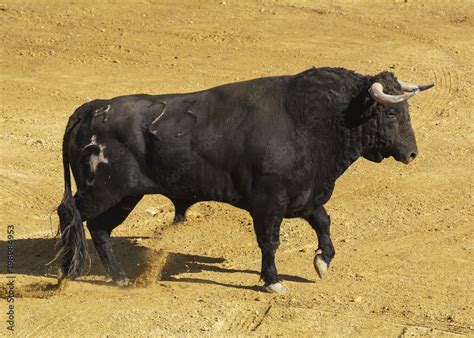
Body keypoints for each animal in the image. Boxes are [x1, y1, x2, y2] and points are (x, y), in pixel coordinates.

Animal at [54, 66, 434, 294]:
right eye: (391, 112)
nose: (412, 153)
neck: (311, 121)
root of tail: (91, 108)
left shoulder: (304, 195)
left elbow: (324, 221)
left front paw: (322, 262)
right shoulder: (269, 203)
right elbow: (270, 241)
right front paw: (273, 282)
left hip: (124, 195)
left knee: (99, 228)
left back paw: (119, 277)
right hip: (105, 189)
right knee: (70, 213)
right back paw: (67, 270)